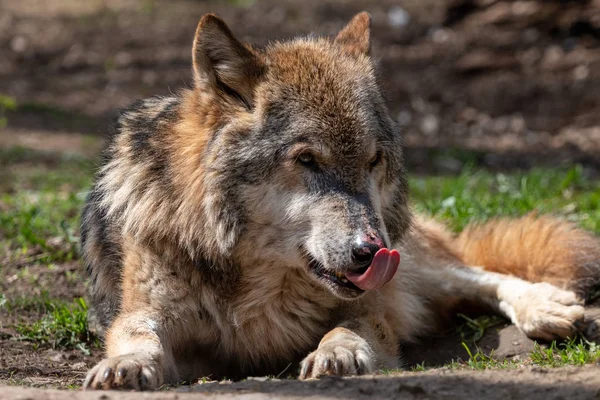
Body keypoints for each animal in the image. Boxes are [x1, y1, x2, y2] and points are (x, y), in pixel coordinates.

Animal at [82, 13, 600, 390]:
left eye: (373, 160)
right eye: (307, 159)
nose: (371, 251)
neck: (260, 285)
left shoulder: (376, 304)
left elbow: (350, 325)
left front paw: (339, 352)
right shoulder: (149, 314)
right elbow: (137, 335)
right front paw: (126, 366)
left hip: (413, 261)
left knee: (478, 275)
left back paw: (547, 308)